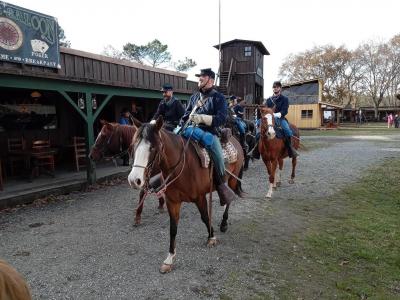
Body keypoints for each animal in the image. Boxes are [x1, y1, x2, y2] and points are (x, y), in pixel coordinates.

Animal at [128, 116, 245, 274]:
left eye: (152, 148)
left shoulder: (200, 198)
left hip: (232, 180)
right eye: (134, 145)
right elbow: (173, 228)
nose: (134, 180)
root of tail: (234, 138)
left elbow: (205, 217)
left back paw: (224, 223)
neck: (182, 167)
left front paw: (211, 237)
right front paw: (169, 258)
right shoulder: (173, 202)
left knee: (229, 200)